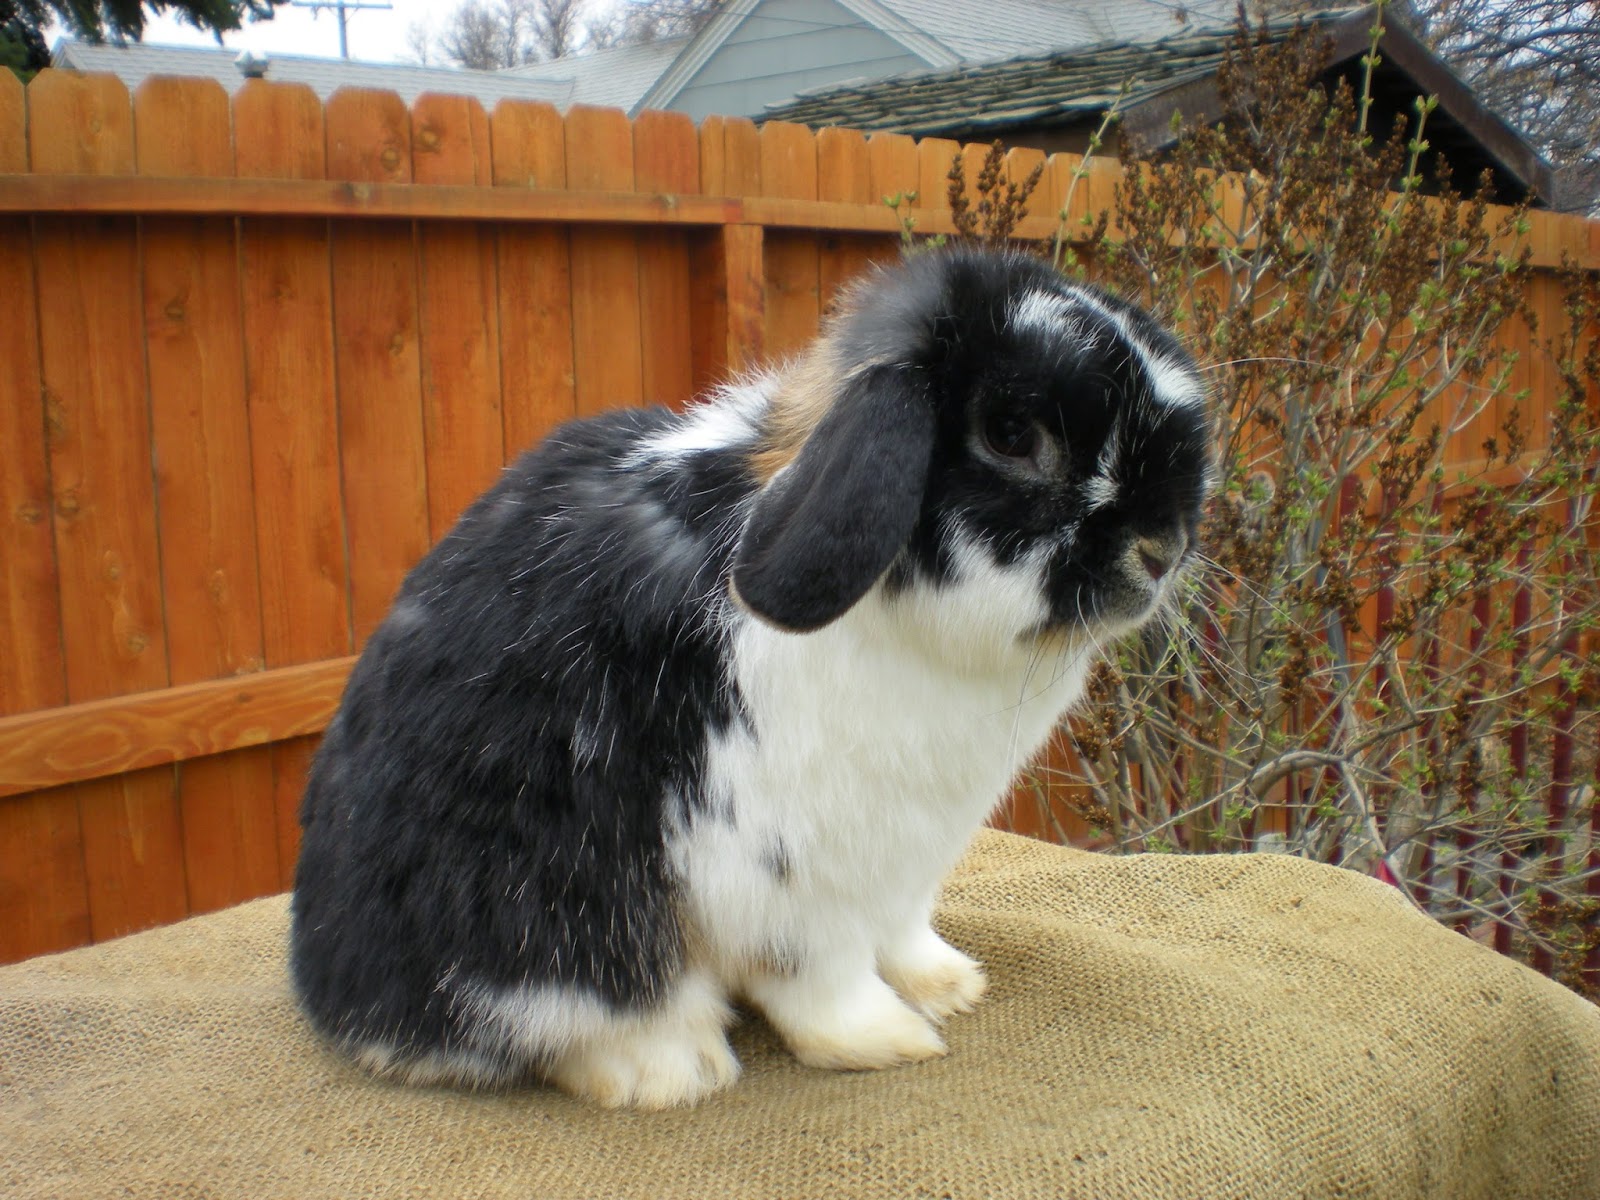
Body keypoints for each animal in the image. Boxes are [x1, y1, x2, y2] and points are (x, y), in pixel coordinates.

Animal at [289, 246, 1213, 1109]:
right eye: (1013, 435)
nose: (1161, 549)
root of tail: (334, 994)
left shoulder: (907, 864)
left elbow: (904, 934)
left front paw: (949, 987)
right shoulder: (788, 866)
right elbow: (819, 975)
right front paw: (886, 1038)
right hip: (542, 914)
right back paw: (672, 1067)